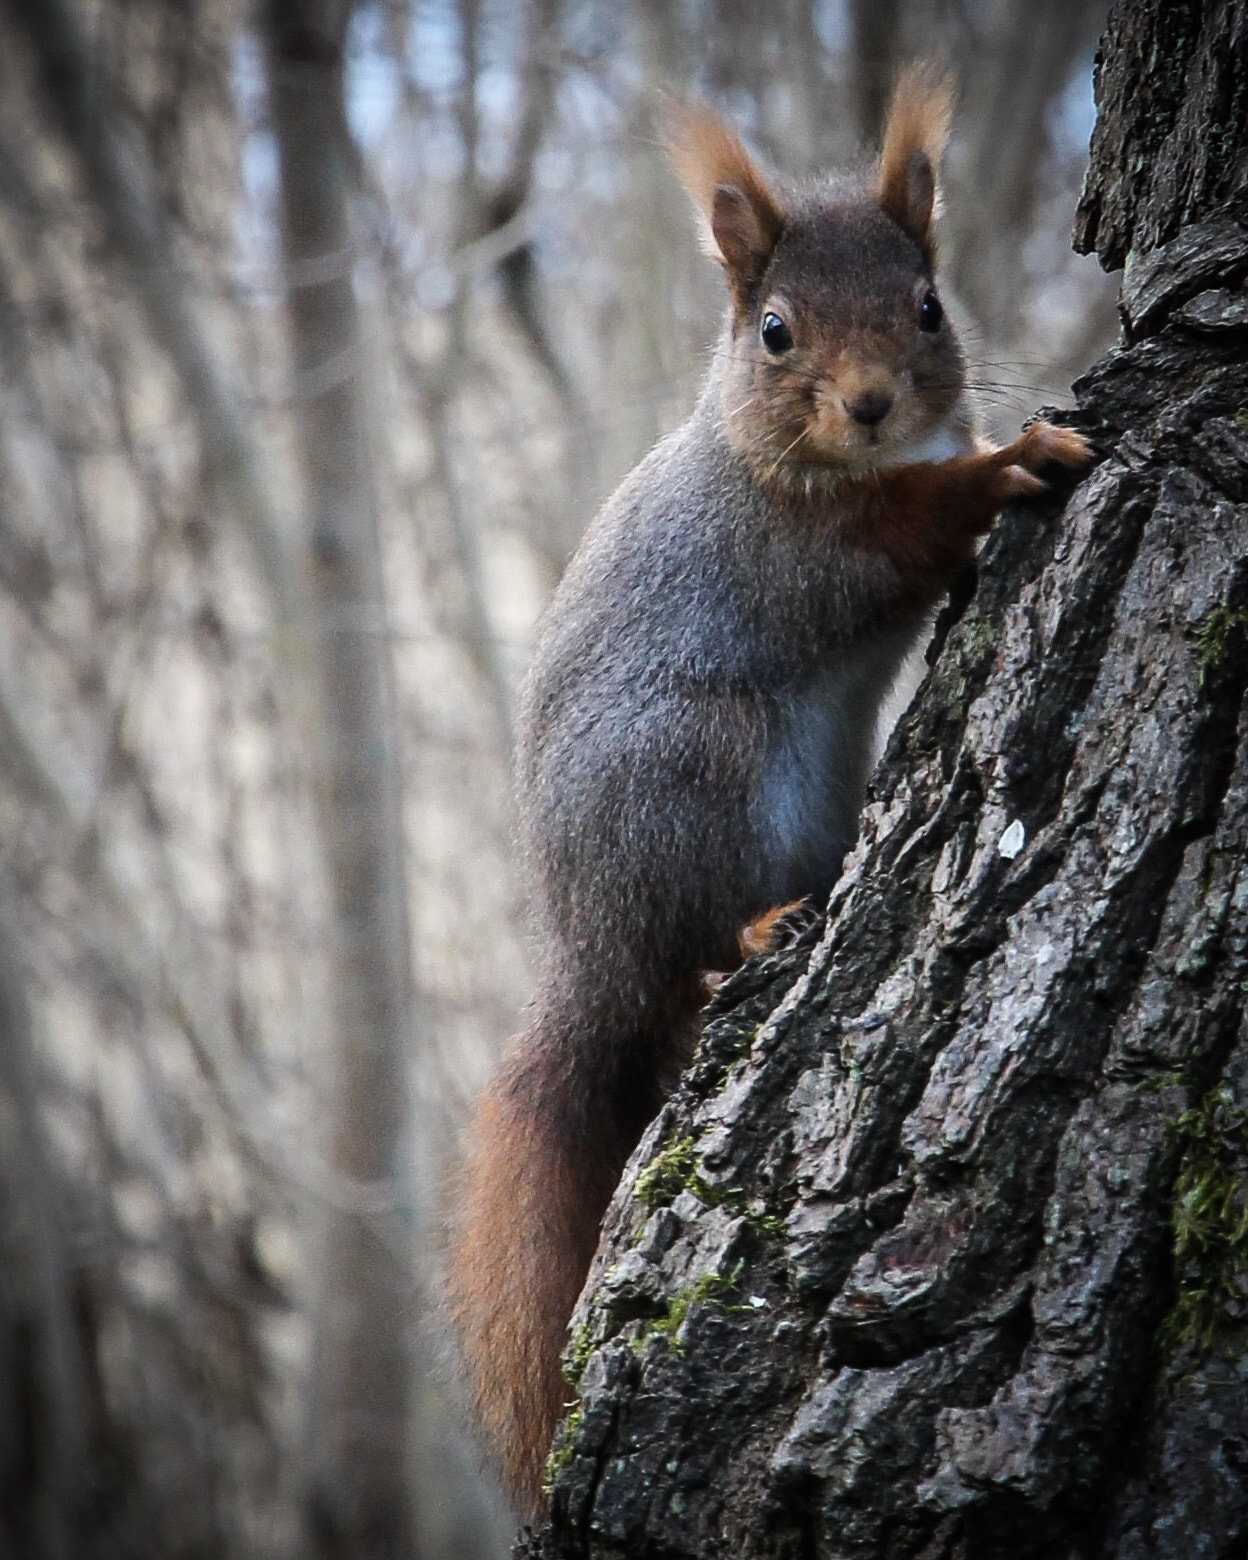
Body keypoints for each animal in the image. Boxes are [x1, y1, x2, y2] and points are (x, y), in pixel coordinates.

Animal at [447, 66, 1091, 1514]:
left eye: (927, 302)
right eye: (778, 330)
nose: (870, 403)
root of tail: (588, 958)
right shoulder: (787, 552)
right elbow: (897, 540)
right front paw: (1008, 463)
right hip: (696, 774)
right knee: (685, 970)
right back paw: (746, 933)